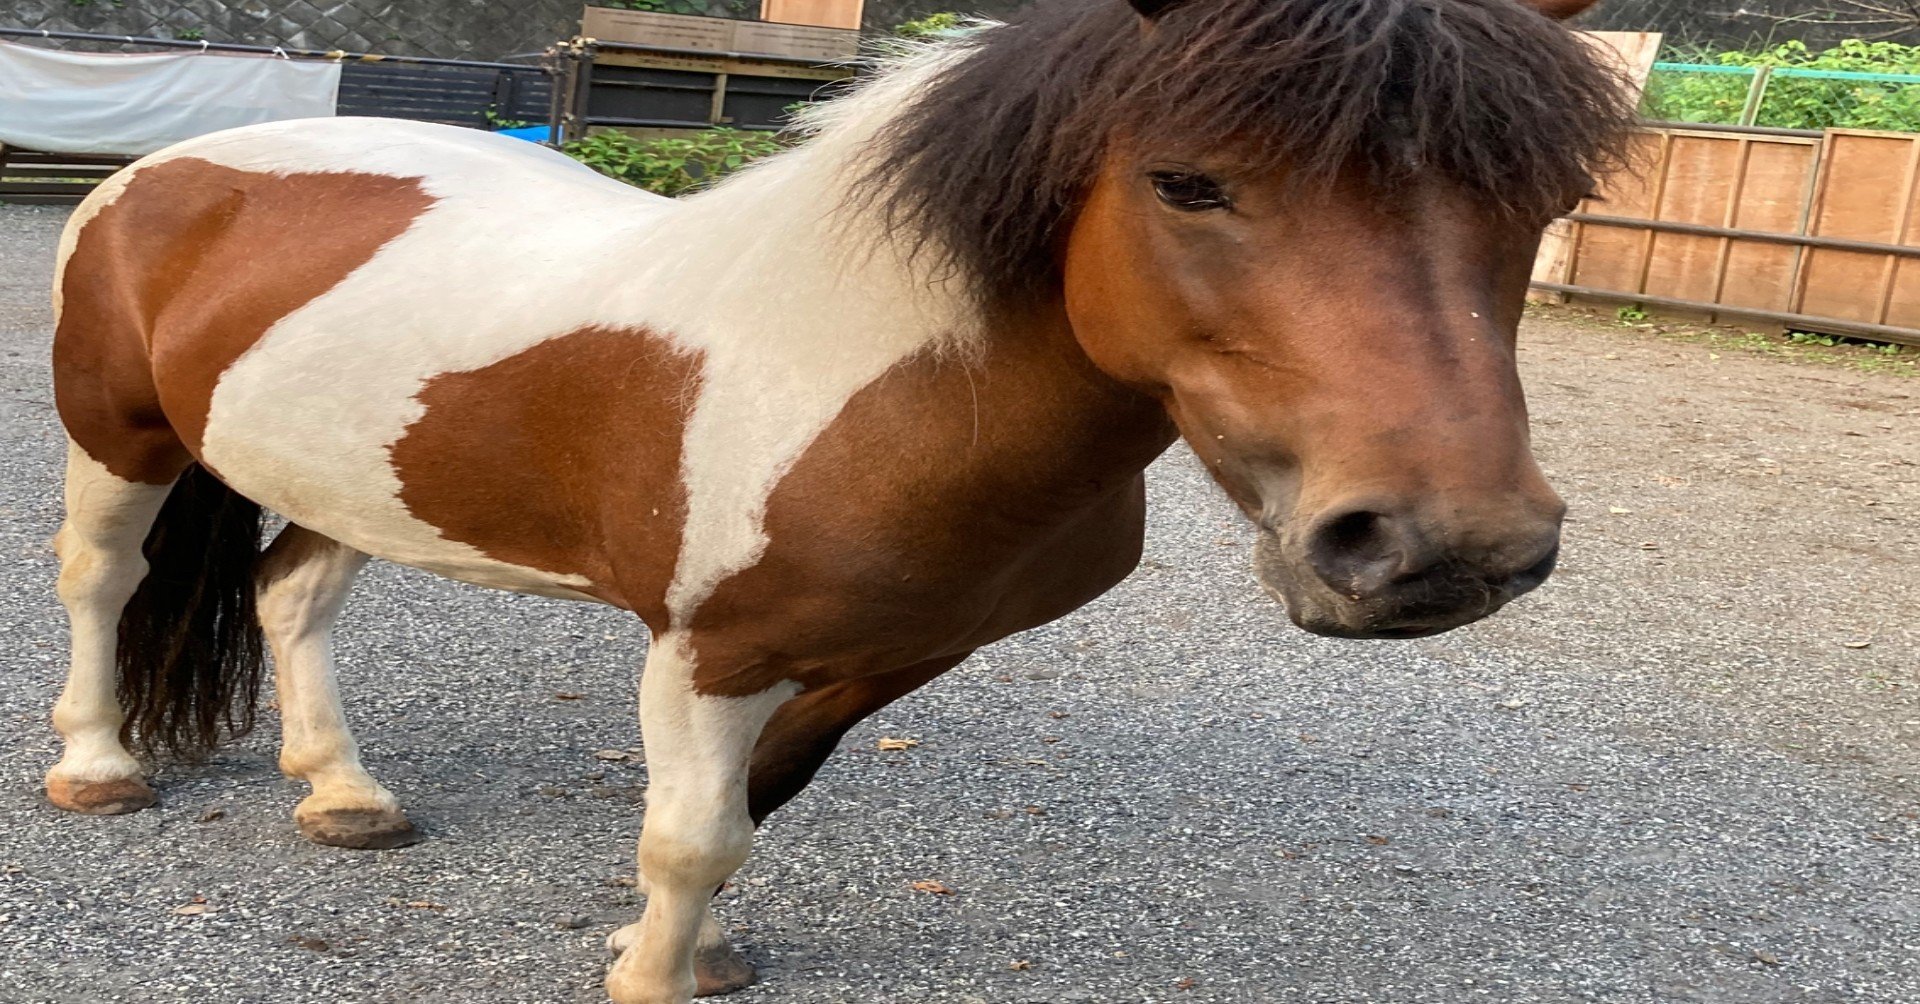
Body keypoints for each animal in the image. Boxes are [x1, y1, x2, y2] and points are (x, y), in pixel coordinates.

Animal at [40, 0, 1630, 999]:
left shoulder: (898, 649)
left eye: (1544, 202)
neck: (885, 383)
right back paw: (98, 767)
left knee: (291, 596)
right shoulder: (706, 649)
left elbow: (758, 800)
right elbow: (693, 830)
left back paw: (343, 792)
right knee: (104, 584)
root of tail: (170, 168)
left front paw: (692, 951)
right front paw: (652, 973)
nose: (1442, 548)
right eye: (1188, 183)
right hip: (121, 441)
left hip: (352, 477)